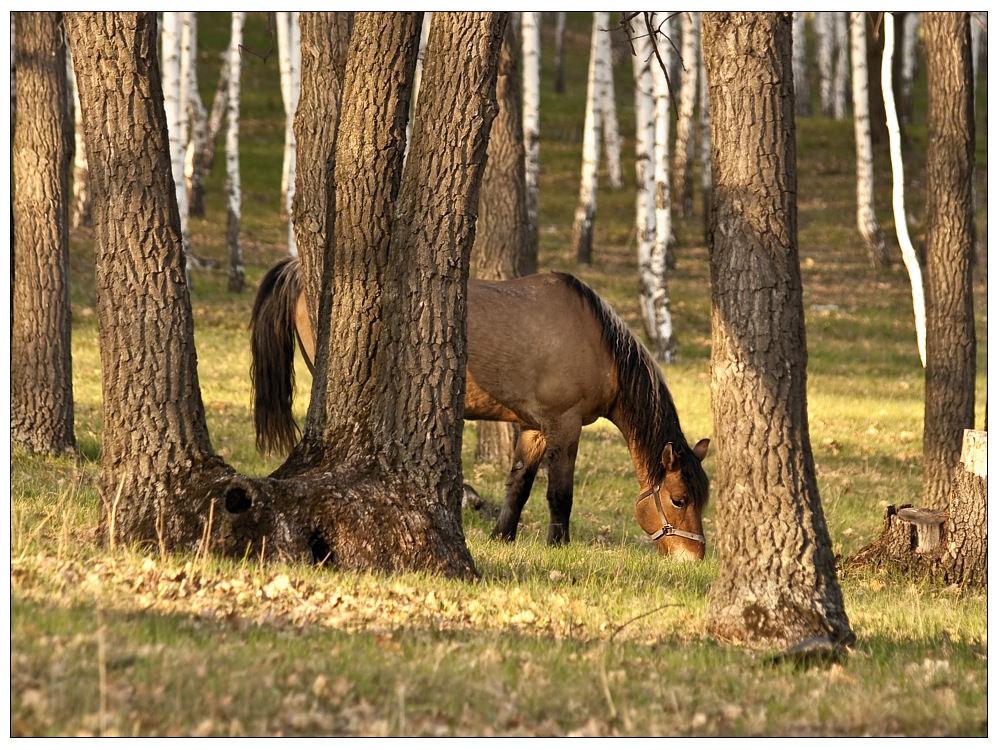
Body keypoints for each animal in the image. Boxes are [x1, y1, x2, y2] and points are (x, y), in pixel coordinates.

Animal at [248, 258, 712, 560]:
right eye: (678, 499)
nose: (693, 557)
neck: (596, 342)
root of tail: (299, 269)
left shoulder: (533, 428)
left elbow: (518, 486)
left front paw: (502, 536)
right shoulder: (564, 425)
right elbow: (559, 493)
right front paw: (557, 546)